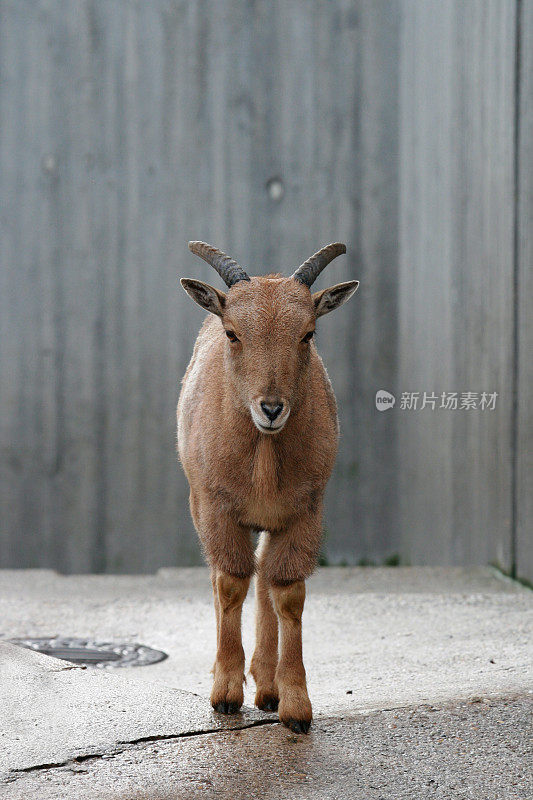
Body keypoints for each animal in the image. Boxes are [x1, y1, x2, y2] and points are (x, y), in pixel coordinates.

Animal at [178, 241, 358, 736]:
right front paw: (225, 693)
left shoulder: (303, 513)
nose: (272, 408)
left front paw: (295, 705)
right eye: (233, 333)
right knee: (228, 577)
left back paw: (267, 682)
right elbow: (229, 585)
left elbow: (288, 593)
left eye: (308, 334)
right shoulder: (216, 508)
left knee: (264, 577)